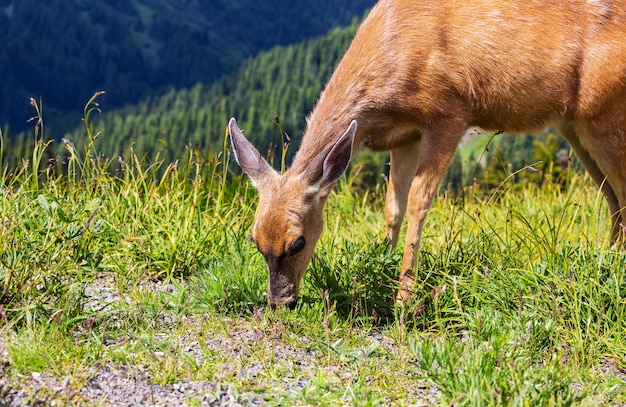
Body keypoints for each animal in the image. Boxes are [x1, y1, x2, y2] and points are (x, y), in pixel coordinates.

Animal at [227, 0, 624, 310]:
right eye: (255, 240)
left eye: (298, 242)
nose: (280, 302)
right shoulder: (405, 134)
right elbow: (393, 207)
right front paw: (377, 269)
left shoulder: (448, 112)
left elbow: (420, 202)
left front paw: (403, 296)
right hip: (573, 124)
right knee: (611, 195)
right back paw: (607, 260)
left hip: (602, 114)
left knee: (620, 190)